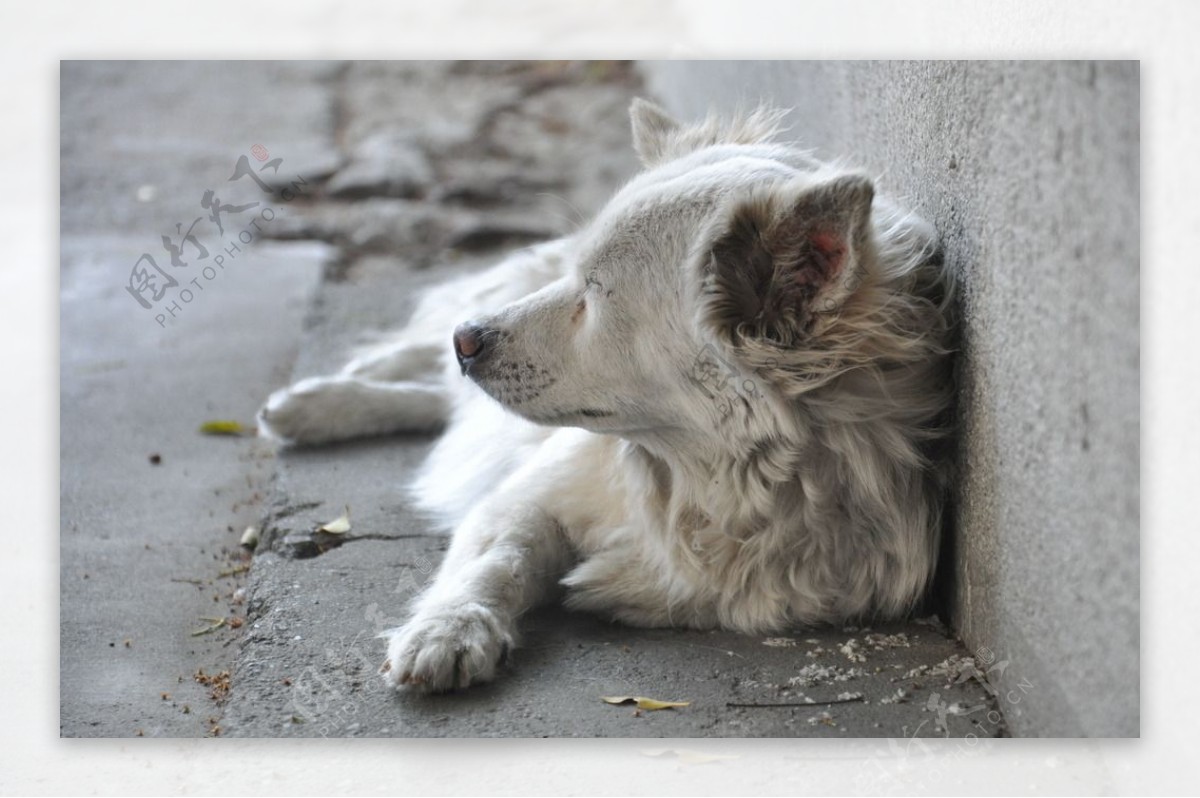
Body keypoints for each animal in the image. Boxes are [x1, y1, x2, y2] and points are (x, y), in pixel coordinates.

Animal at [260, 96, 955, 686]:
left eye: (593, 294)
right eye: (579, 278)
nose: (467, 341)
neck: (706, 483)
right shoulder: (527, 497)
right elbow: (496, 562)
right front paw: (449, 629)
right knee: (429, 371)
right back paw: (325, 397)